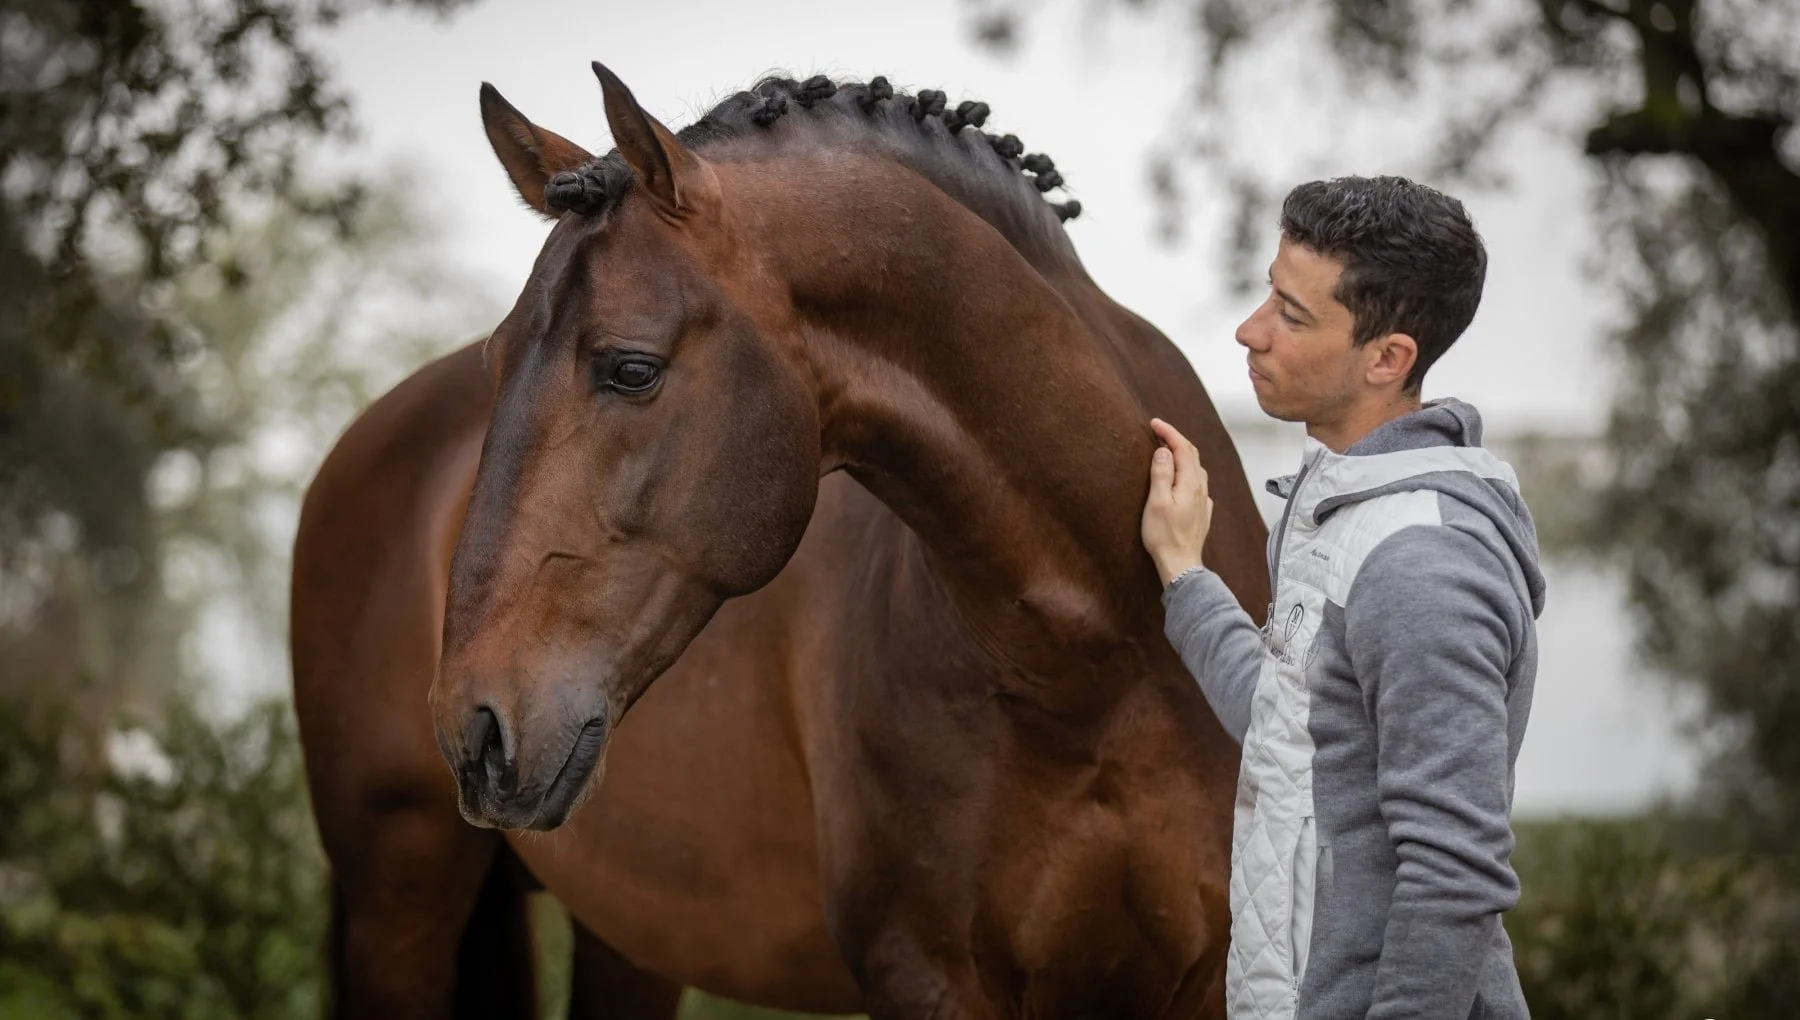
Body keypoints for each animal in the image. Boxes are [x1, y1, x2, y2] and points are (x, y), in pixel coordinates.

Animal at [289, 63, 1270, 1019]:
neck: (1103, 658)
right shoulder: (928, 976)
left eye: (632, 369)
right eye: (497, 364)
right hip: (400, 900)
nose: (474, 727)